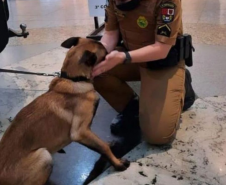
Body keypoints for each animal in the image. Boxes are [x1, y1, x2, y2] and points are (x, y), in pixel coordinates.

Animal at [0, 37, 130, 185]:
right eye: (105, 51)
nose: (121, 47)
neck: (74, 79)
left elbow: (100, 142)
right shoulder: (80, 132)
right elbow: (103, 147)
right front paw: (117, 163)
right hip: (44, 155)